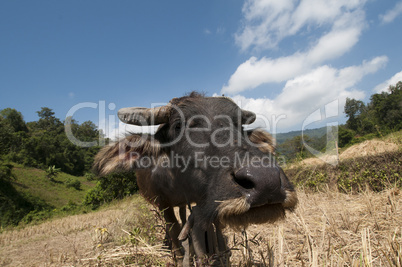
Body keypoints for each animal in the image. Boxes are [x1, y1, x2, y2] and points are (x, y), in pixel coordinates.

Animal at [93, 93, 296, 264]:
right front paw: (178, 255)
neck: (178, 181)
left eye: (240, 125)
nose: (267, 181)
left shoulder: (207, 200)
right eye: (177, 126)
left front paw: (220, 253)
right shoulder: (163, 203)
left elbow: (213, 227)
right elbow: (173, 228)